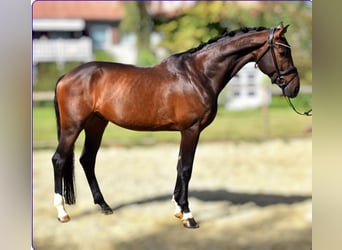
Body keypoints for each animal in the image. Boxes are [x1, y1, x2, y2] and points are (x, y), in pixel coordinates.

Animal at [51, 23, 300, 229]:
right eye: (283, 52)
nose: (295, 87)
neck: (198, 74)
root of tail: (66, 76)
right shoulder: (191, 129)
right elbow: (187, 168)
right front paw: (188, 216)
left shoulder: (186, 131)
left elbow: (180, 166)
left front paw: (178, 208)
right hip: (73, 127)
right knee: (59, 159)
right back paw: (62, 213)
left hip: (96, 124)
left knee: (87, 160)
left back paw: (104, 206)